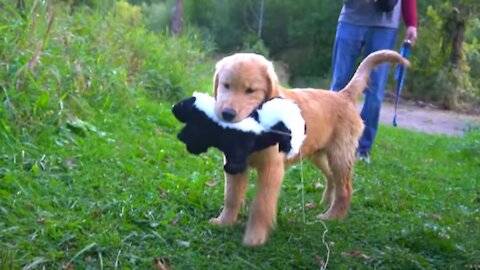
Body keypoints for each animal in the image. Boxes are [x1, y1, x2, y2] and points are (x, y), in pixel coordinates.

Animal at [209, 49, 408, 246]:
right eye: (226, 85)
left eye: (250, 90)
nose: (227, 114)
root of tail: (343, 95)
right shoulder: (234, 163)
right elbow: (231, 196)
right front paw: (224, 221)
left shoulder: (272, 169)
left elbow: (262, 204)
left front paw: (255, 236)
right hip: (318, 155)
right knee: (331, 178)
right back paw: (325, 203)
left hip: (340, 155)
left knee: (345, 188)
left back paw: (332, 216)